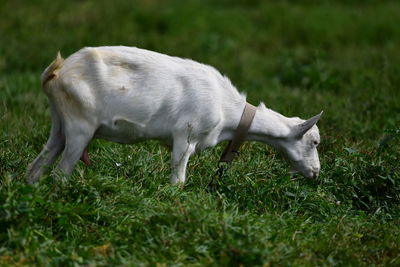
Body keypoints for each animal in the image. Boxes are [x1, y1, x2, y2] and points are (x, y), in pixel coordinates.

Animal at [26, 46, 322, 184]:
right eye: (315, 141)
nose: (316, 172)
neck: (229, 110)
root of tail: (57, 72)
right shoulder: (185, 137)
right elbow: (178, 181)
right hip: (81, 124)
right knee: (60, 173)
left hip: (60, 121)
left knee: (37, 165)